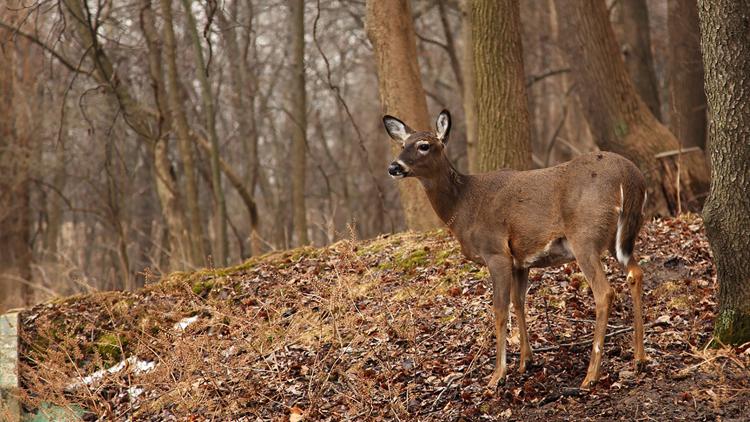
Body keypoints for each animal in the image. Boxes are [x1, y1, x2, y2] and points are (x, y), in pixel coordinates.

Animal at [384, 109, 648, 390]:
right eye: (402, 145)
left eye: (424, 145)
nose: (394, 167)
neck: (463, 207)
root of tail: (630, 176)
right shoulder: (520, 260)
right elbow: (518, 301)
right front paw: (525, 361)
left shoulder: (496, 252)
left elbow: (499, 309)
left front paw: (497, 375)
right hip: (618, 238)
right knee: (635, 273)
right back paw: (639, 359)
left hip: (584, 237)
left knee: (604, 292)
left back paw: (591, 375)